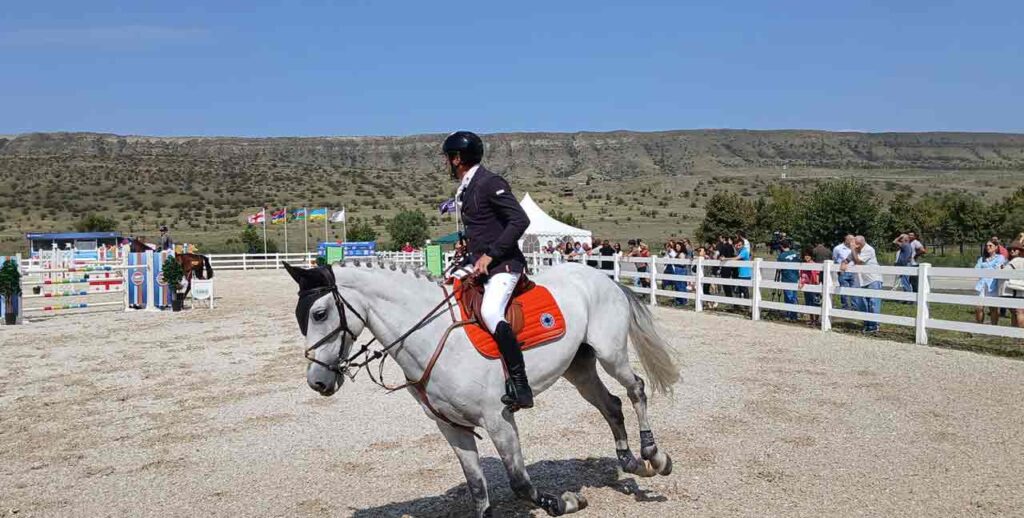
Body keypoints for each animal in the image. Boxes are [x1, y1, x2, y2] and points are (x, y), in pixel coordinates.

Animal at [280, 261, 679, 515]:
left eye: (319, 314)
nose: (317, 382)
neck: (431, 335)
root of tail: (601, 276)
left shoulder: (498, 419)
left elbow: (520, 484)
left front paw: (567, 501)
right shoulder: (451, 428)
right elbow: (477, 489)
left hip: (611, 355)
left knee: (636, 389)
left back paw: (654, 456)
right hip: (578, 369)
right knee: (611, 405)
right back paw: (632, 463)